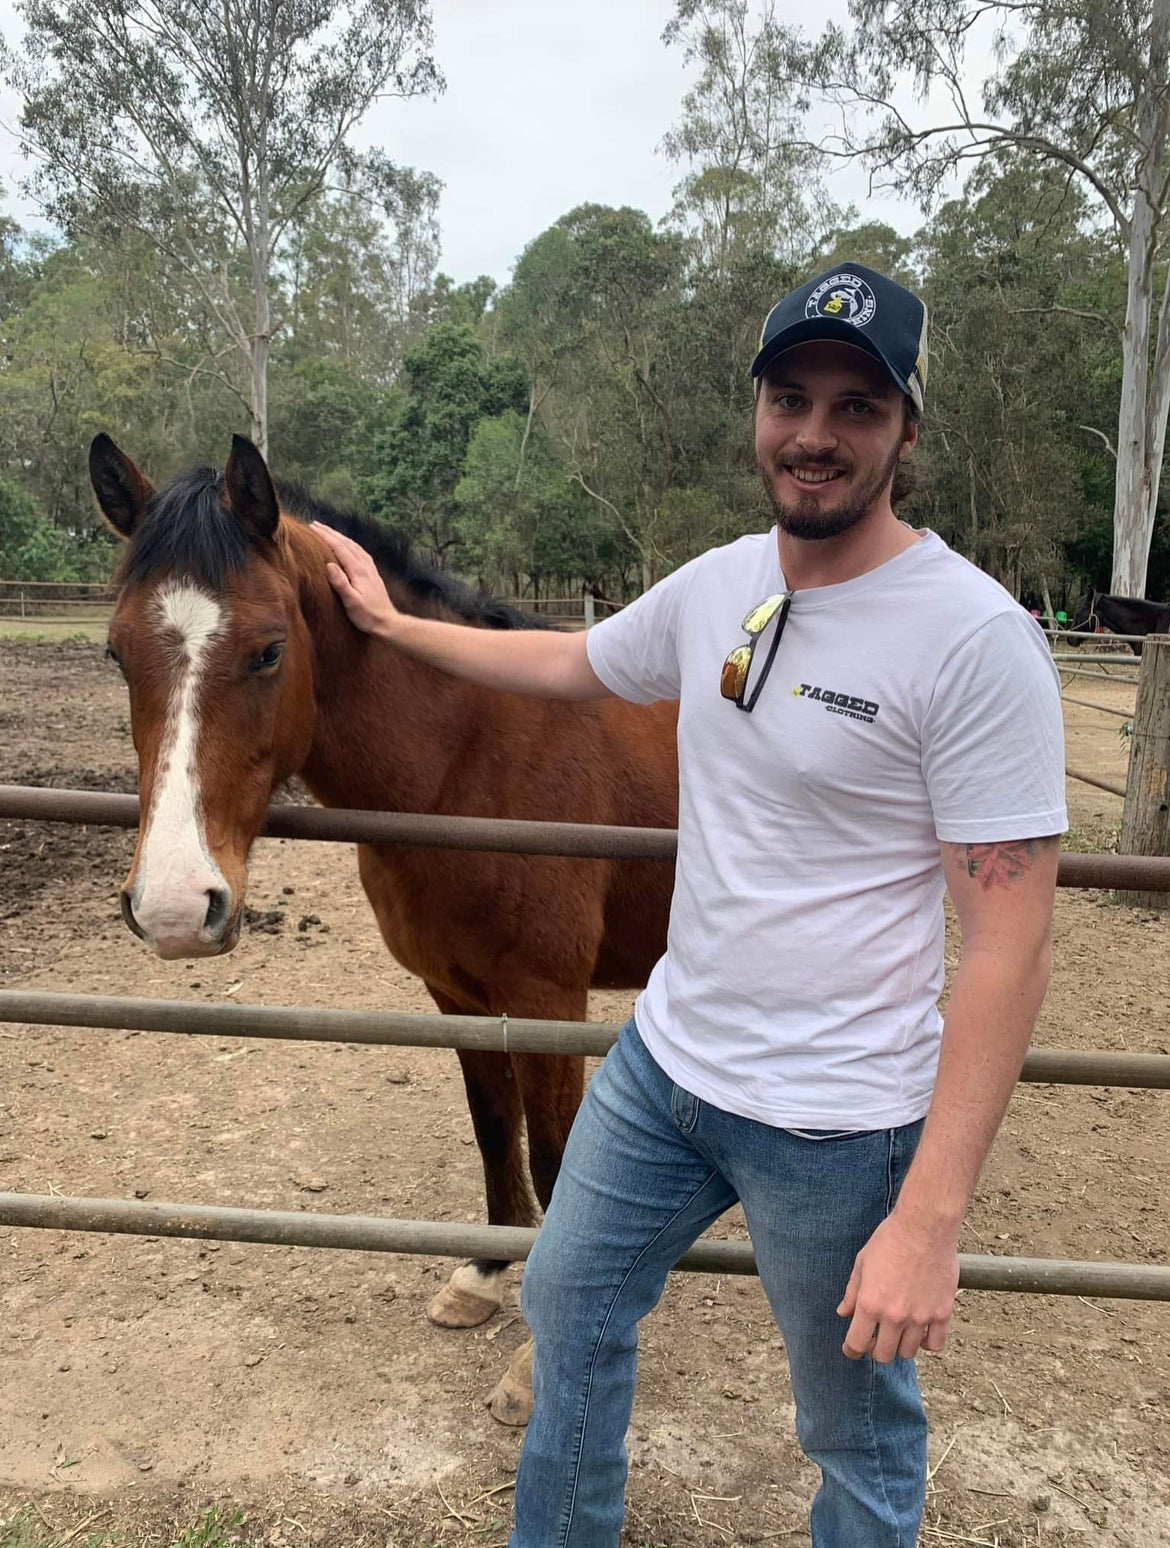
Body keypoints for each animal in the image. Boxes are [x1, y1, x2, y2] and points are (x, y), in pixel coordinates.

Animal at [88, 433, 677, 1424]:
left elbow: (558, 1158)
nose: (173, 906)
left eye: (269, 651)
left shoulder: (548, 1002)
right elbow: (494, 1129)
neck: (470, 758)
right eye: (117, 655)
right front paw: (483, 1277)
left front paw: (535, 1365)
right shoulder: (458, 994)